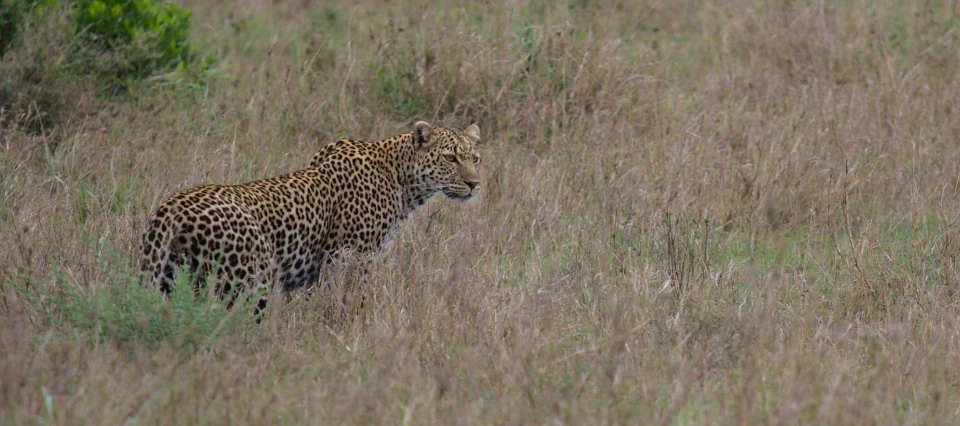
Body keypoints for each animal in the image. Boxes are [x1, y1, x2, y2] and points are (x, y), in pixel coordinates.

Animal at [139, 121, 484, 312]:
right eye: (450, 158)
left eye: (475, 158)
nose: (474, 184)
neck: (402, 182)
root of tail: (172, 205)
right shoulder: (349, 259)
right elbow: (349, 303)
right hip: (248, 281)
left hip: (170, 277)